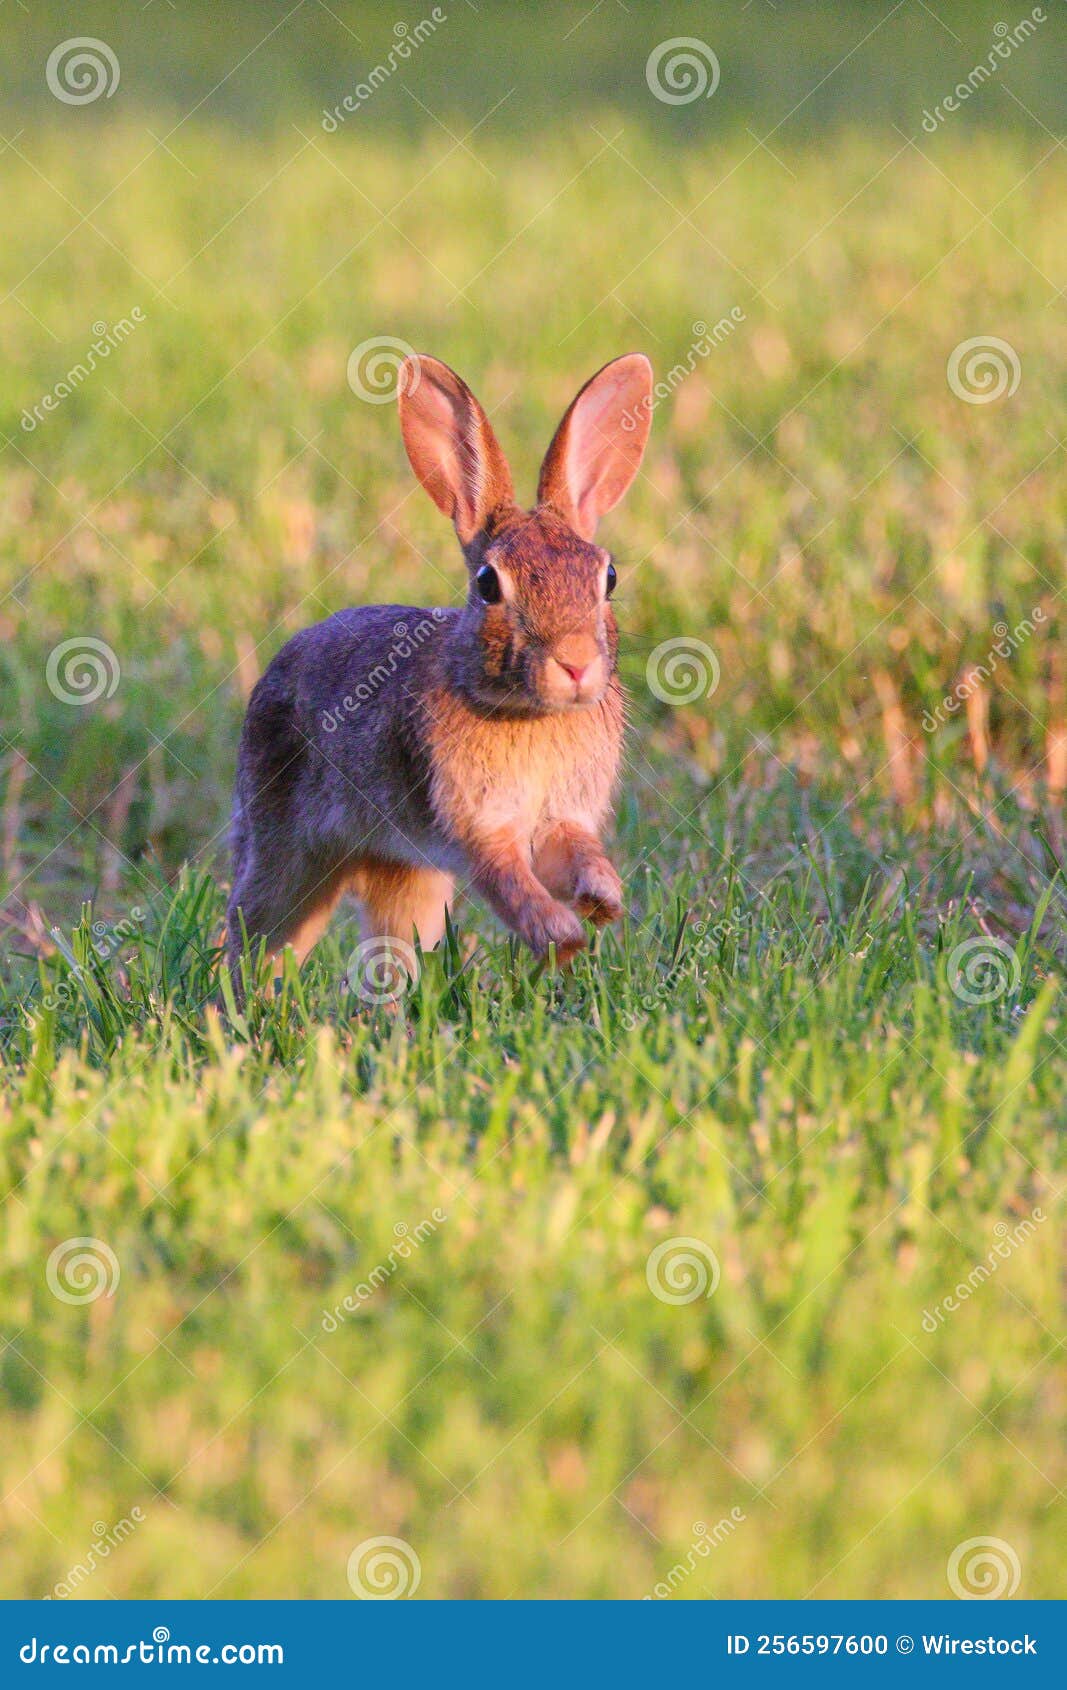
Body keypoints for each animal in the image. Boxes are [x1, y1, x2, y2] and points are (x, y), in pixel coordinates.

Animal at [226, 351, 654, 992]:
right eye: (488, 584)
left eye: (608, 577)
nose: (576, 662)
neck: (527, 711)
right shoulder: (480, 827)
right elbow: (509, 881)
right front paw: (561, 937)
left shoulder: (560, 818)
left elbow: (576, 853)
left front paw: (603, 901)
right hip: (288, 852)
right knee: (251, 925)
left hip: (407, 876)